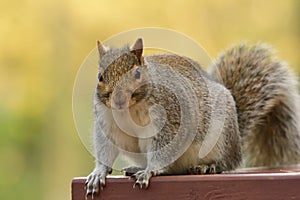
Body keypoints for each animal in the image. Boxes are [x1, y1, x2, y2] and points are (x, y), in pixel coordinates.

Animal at [84, 37, 300, 195]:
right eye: (100, 76)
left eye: (137, 74)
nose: (119, 100)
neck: (130, 109)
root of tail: (237, 138)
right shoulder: (106, 122)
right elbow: (106, 148)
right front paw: (99, 173)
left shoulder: (171, 118)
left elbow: (163, 148)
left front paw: (149, 171)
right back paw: (136, 168)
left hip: (220, 139)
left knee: (227, 163)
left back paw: (207, 167)